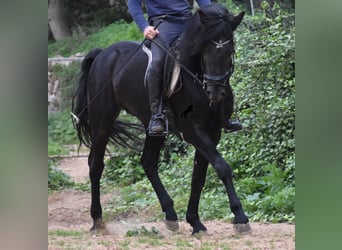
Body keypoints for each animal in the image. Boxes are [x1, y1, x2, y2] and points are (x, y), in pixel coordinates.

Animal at [72, 3, 250, 234]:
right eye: (205, 51)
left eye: (230, 51)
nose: (216, 92)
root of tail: (104, 54)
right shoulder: (193, 131)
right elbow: (222, 167)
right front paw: (240, 217)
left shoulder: (213, 132)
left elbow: (198, 177)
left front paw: (195, 221)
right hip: (102, 121)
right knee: (95, 164)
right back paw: (97, 219)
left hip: (153, 126)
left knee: (148, 162)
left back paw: (171, 214)